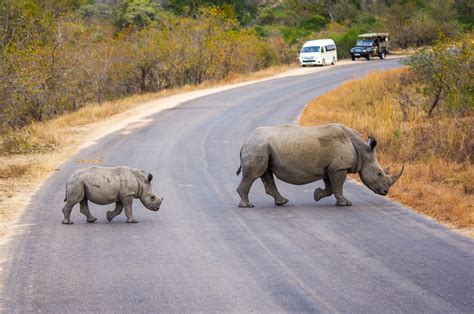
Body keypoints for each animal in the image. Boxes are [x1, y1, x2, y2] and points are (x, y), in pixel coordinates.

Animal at [235, 124, 402, 207]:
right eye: (379, 173)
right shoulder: (339, 167)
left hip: (261, 147)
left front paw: (317, 195)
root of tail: (245, 140)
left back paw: (282, 202)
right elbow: (337, 187)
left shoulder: (330, 168)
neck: (362, 150)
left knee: (266, 174)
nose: (385, 191)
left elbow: (330, 188)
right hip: (257, 146)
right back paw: (247, 205)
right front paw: (345, 203)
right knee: (254, 175)